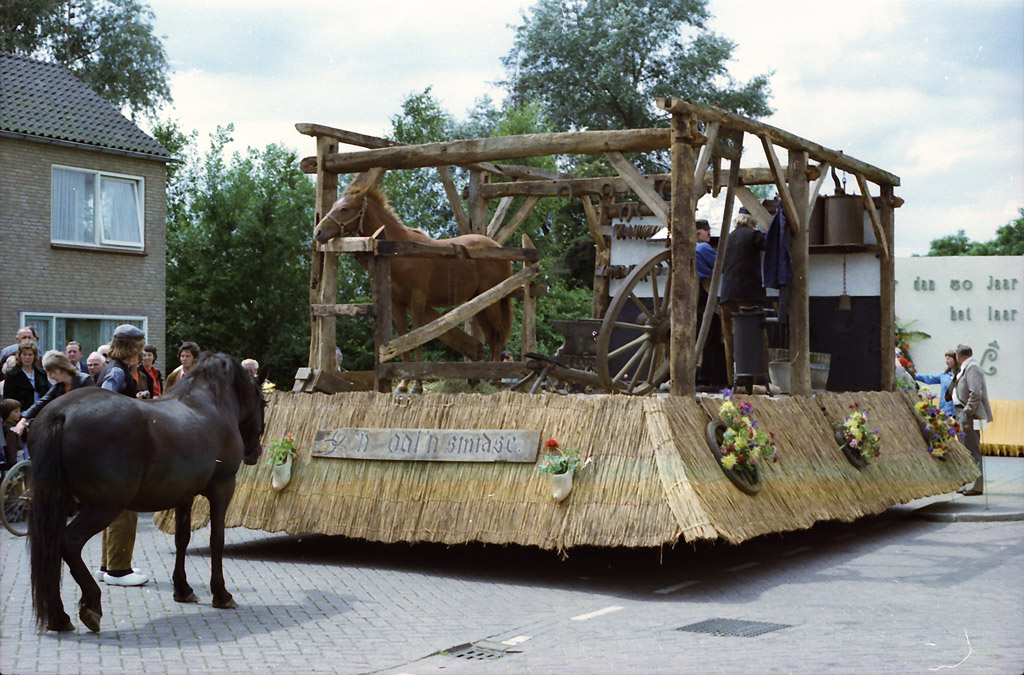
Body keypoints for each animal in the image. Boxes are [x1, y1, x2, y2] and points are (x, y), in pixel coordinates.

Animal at [30, 354, 266, 635]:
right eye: (264, 402)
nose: (255, 452)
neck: (209, 405)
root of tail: (62, 413)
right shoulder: (223, 488)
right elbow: (216, 539)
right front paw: (221, 594)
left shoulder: (184, 495)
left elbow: (182, 539)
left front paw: (183, 589)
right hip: (103, 507)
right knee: (69, 542)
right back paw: (90, 606)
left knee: (52, 545)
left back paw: (59, 617)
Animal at [313, 179, 512, 393]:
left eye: (344, 208)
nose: (318, 232)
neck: (399, 251)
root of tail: (500, 249)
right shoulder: (397, 304)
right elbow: (402, 338)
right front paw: (402, 383)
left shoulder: (417, 301)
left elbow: (416, 337)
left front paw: (417, 384)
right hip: (480, 302)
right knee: (491, 334)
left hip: (492, 300)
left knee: (498, 332)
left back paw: (495, 379)